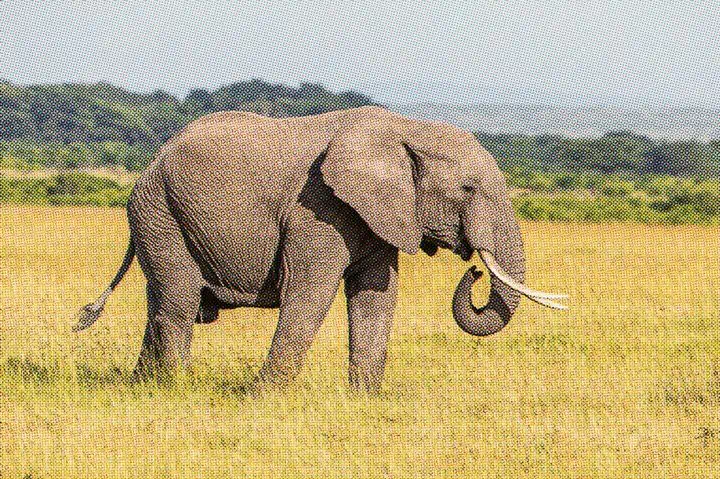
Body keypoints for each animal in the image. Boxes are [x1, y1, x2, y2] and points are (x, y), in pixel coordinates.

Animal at [74, 106, 567, 392]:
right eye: (466, 189)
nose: (476, 270)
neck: (406, 130)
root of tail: (153, 160)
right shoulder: (317, 208)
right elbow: (310, 294)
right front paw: (264, 397)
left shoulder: (379, 215)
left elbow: (375, 298)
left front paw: (365, 400)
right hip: (160, 211)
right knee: (177, 302)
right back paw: (174, 389)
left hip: (161, 215)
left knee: (161, 300)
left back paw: (142, 388)